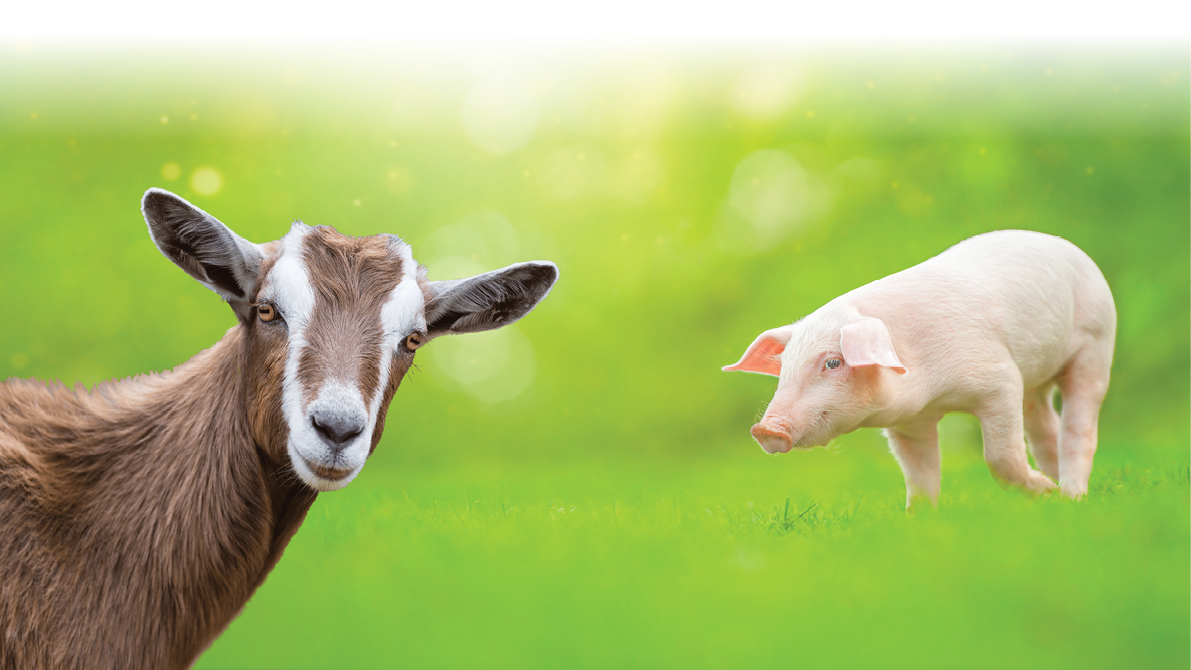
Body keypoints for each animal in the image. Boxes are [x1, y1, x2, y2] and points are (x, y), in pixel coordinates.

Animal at [723, 230, 1116, 509]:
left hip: (1096, 343)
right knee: (1044, 425)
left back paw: (1069, 494)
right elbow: (920, 475)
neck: (935, 396)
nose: (765, 428)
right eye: (785, 365)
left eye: (833, 362)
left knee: (1079, 426)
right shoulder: (908, 423)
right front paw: (919, 520)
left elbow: (999, 456)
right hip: (1036, 379)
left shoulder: (1000, 380)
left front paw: (1044, 491)